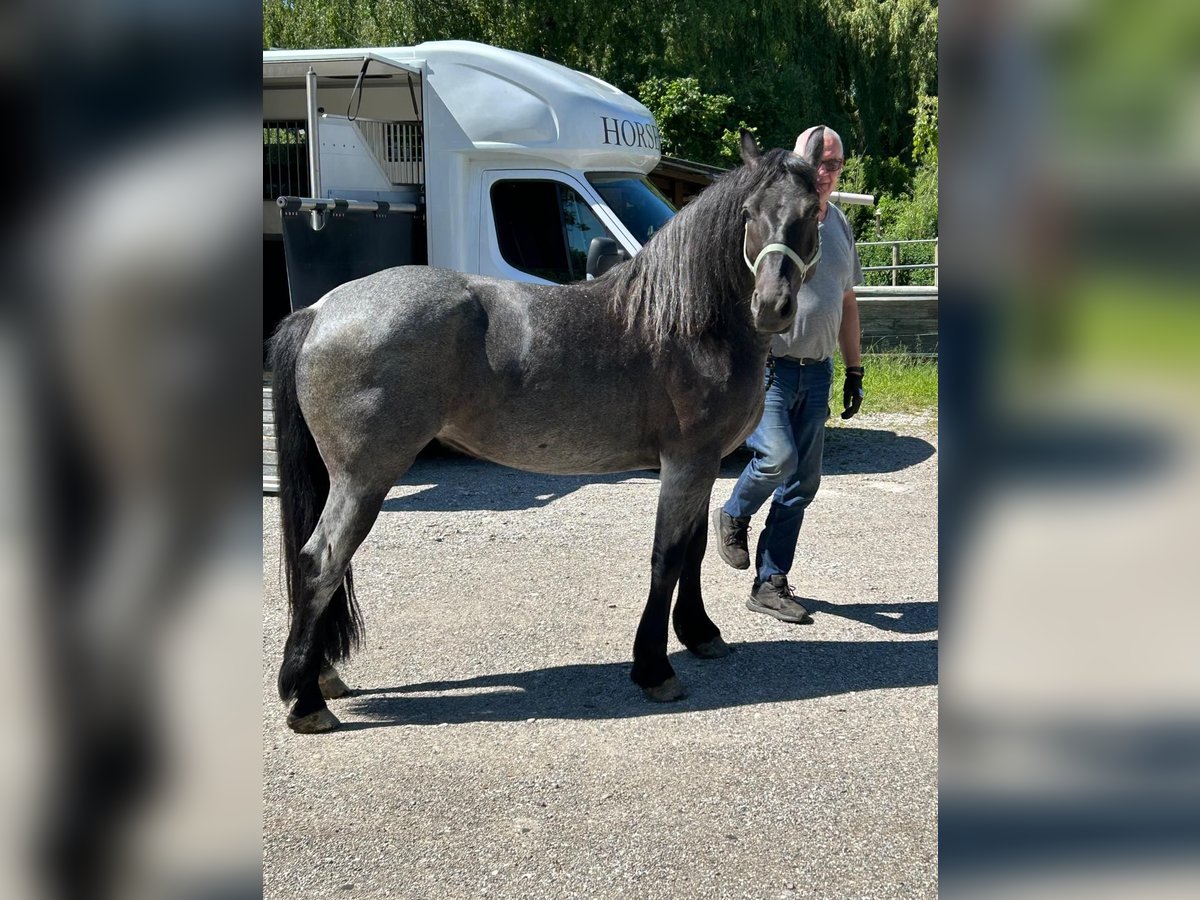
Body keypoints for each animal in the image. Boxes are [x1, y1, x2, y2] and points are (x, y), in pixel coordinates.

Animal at [269, 129, 825, 733]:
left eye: (812, 211)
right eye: (748, 213)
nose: (772, 306)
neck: (686, 322)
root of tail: (321, 311)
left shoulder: (702, 465)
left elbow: (694, 550)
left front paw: (700, 634)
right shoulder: (686, 463)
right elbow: (668, 556)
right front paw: (654, 669)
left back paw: (321, 676)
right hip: (364, 479)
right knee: (319, 562)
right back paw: (306, 701)